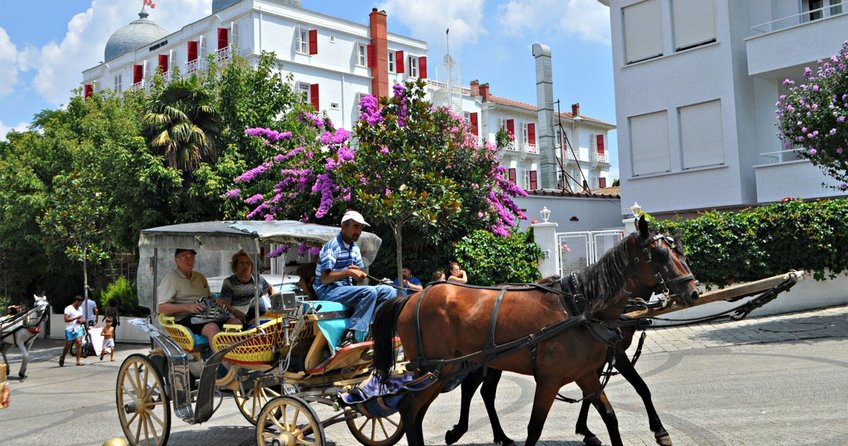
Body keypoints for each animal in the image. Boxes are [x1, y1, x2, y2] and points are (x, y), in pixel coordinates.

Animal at [374, 218, 700, 446]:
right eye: (660, 255)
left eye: (680, 252)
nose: (694, 291)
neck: (580, 308)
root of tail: (413, 297)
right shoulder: (550, 379)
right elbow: (535, 428)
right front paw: (656, 430)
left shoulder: (587, 372)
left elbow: (610, 415)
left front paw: (589, 430)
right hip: (438, 370)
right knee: (411, 408)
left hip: (459, 367)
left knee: (444, 403)